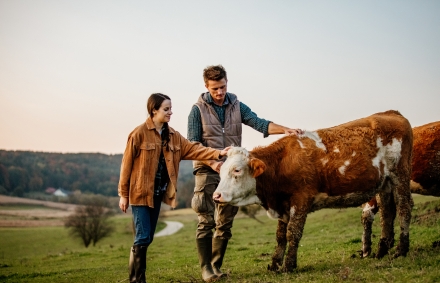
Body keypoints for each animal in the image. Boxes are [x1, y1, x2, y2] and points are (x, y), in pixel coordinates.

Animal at [213, 110, 412, 272]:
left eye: (237, 170)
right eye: (220, 172)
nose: (216, 196)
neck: (281, 162)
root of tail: (391, 113)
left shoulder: (301, 199)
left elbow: (293, 233)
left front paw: (288, 266)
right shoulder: (283, 204)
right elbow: (280, 236)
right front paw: (275, 264)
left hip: (400, 175)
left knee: (404, 208)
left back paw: (401, 250)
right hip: (384, 183)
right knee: (387, 213)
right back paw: (382, 250)